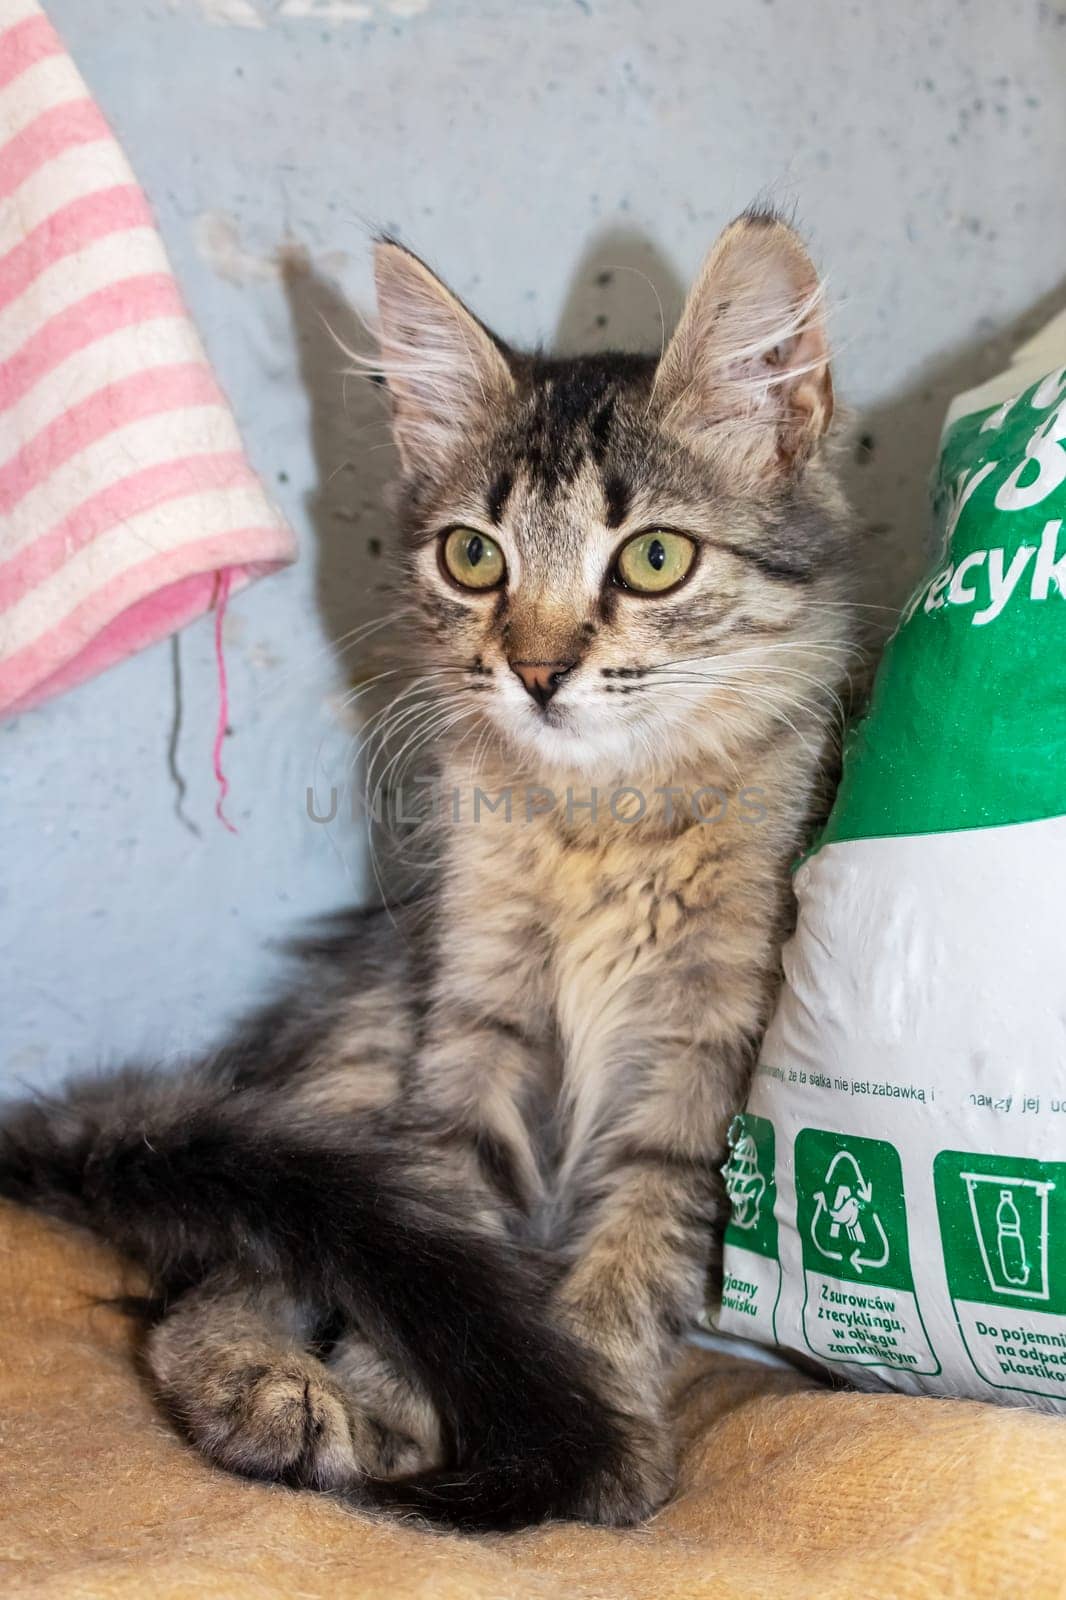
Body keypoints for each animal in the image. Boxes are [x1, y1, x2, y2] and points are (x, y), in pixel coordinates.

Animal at [0, 209, 857, 1523]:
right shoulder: (470, 1015)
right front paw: (408, 1408)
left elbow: (636, 1244)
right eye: (472, 557)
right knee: (229, 1266)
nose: (539, 673)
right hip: (354, 1061)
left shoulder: (703, 1054)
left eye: (654, 559)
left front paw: (600, 1423)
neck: (595, 822)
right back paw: (266, 1388)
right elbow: (446, 1229)